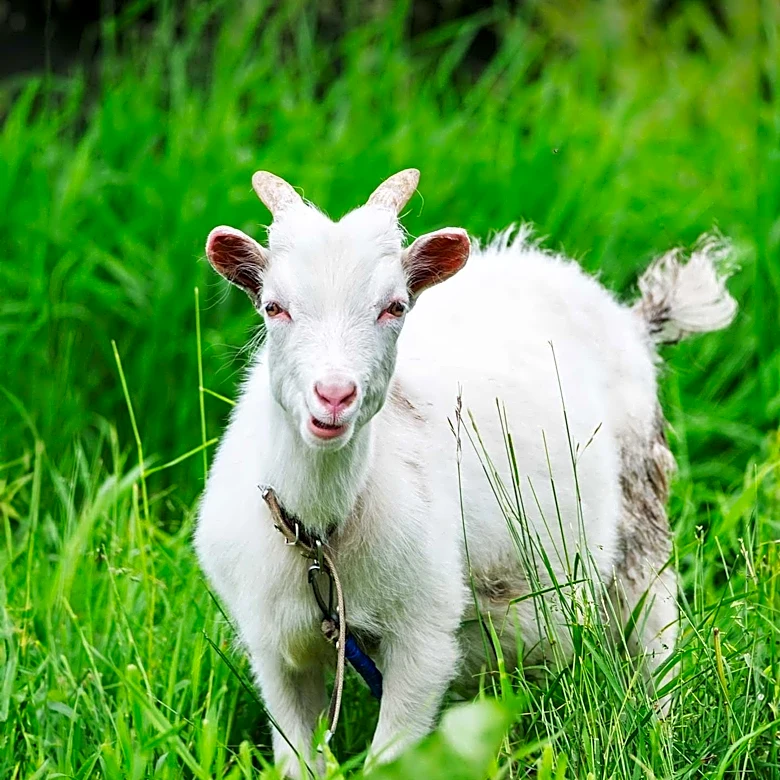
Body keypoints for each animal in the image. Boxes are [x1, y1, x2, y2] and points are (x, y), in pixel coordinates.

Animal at [195, 169, 737, 778]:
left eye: (395, 306)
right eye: (273, 307)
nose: (334, 396)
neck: (321, 538)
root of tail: (627, 318)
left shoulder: (425, 635)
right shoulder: (274, 648)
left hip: (641, 505)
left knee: (653, 634)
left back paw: (659, 736)